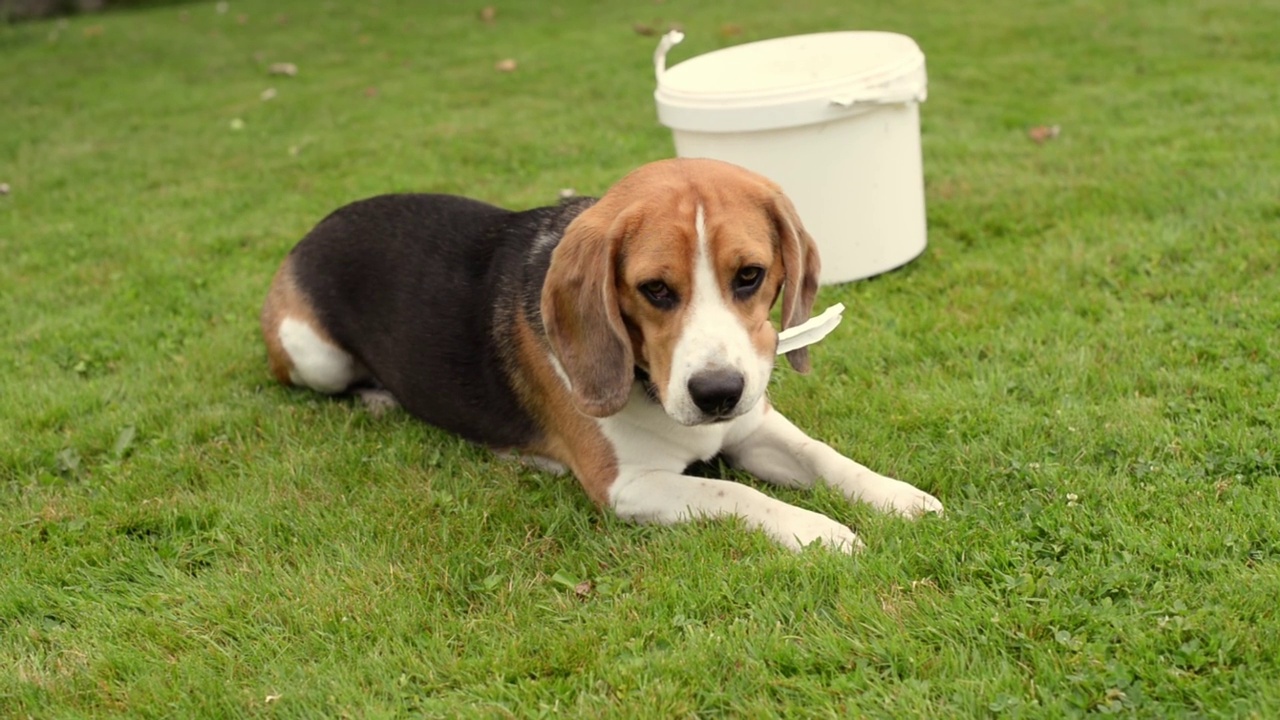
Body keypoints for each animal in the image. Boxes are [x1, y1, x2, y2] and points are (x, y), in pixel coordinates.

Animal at [259, 158, 942, 548]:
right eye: (655, 289)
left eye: (750, 276)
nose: (717, 394)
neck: (647, 385)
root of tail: (313, 230)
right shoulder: (629, 485)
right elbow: (736, 495)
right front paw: (819, 530)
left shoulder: (753, 427)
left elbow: (824, 456)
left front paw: (897, 497)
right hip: (314, 356)